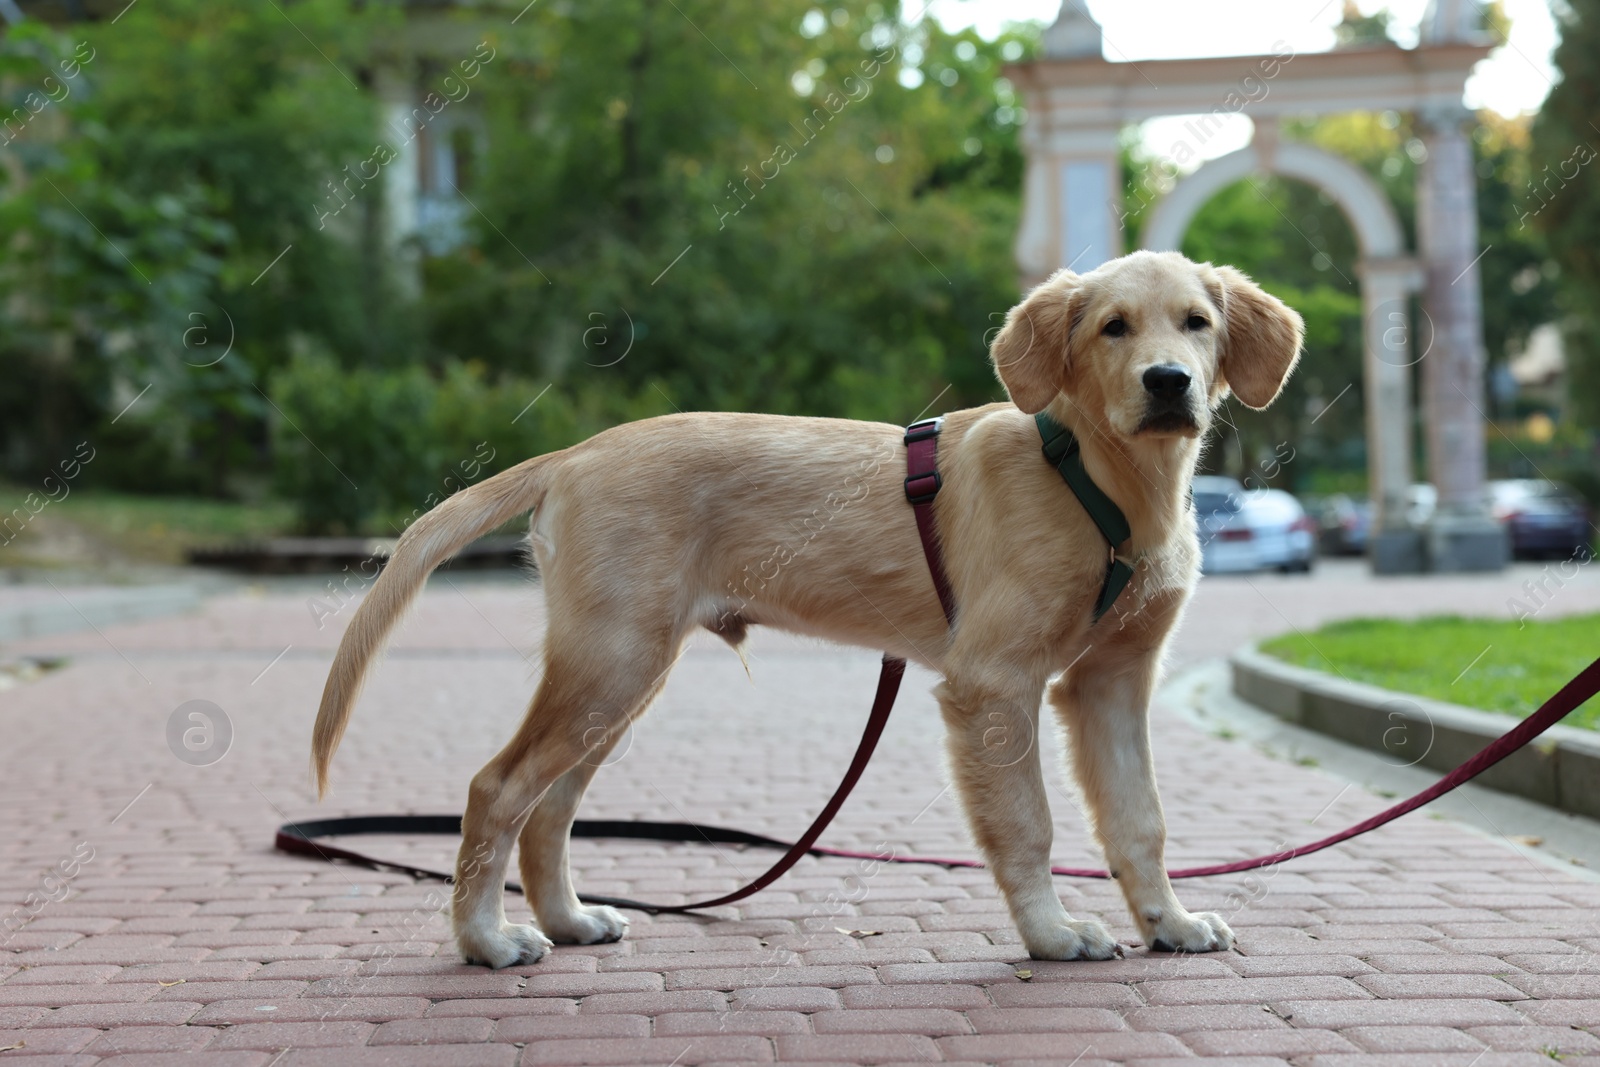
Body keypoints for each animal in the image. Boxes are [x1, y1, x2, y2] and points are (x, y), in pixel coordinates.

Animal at [308, 247, 1299, 966]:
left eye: (1197, 323)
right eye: (1111, 328)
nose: (1167, 382)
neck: (1100, 480)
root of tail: (574, 452)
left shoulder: (1111, 684)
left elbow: (1140, 819)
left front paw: (1168, 923)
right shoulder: (994, 682)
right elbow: (1030, 823)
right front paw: (1053, 935)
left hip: (618, 676)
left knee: (547, 808)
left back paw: (570, 920)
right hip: (611, 660)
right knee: (498, 788)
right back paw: (485, 941)